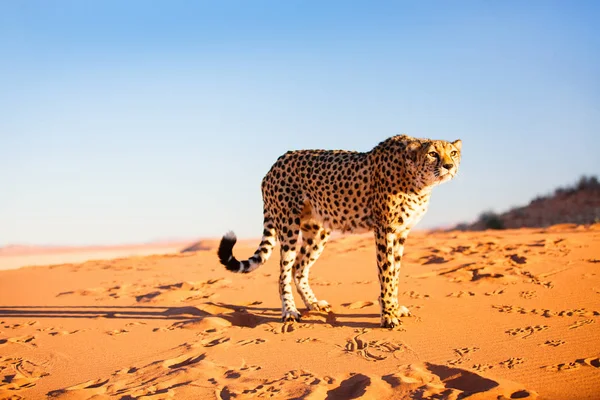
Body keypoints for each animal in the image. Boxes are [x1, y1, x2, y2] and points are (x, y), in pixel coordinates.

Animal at [218, 134, 462, 328]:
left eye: (453, 153)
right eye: (433, 154)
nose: (449, 166)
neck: (418, 181)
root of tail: (274, 164)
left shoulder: (401, 233)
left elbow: (395, 274)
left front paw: (394, 307)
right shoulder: (385, 230)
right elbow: (386, 274)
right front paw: (388, 316)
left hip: (318, 231)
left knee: (299, 267)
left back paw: (313, 304)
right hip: (288, 225)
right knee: (283, 272)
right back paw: (289, 311)